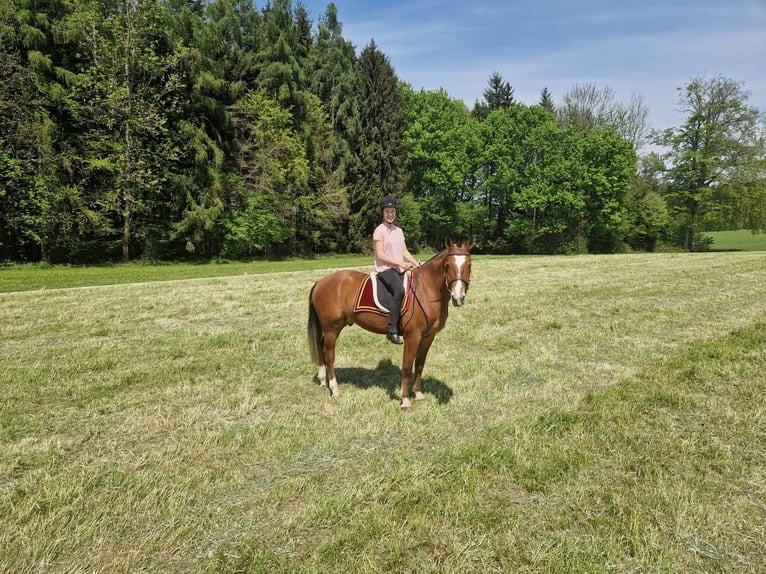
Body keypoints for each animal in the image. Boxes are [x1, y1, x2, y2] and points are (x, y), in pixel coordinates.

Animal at [308, 241, 472, 412]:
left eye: (469, 265)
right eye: (447, 265)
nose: (458, 297)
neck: (426, 289)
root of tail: (320, 282)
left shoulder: (428, 336)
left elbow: (420, 364)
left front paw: (418, 393)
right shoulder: (412, 336)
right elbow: (407, 366)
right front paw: (405, 400)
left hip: (335, 327)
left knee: (321, 348)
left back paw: (323, 380)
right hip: (331, 328)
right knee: (329, 355)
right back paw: (334, 388)